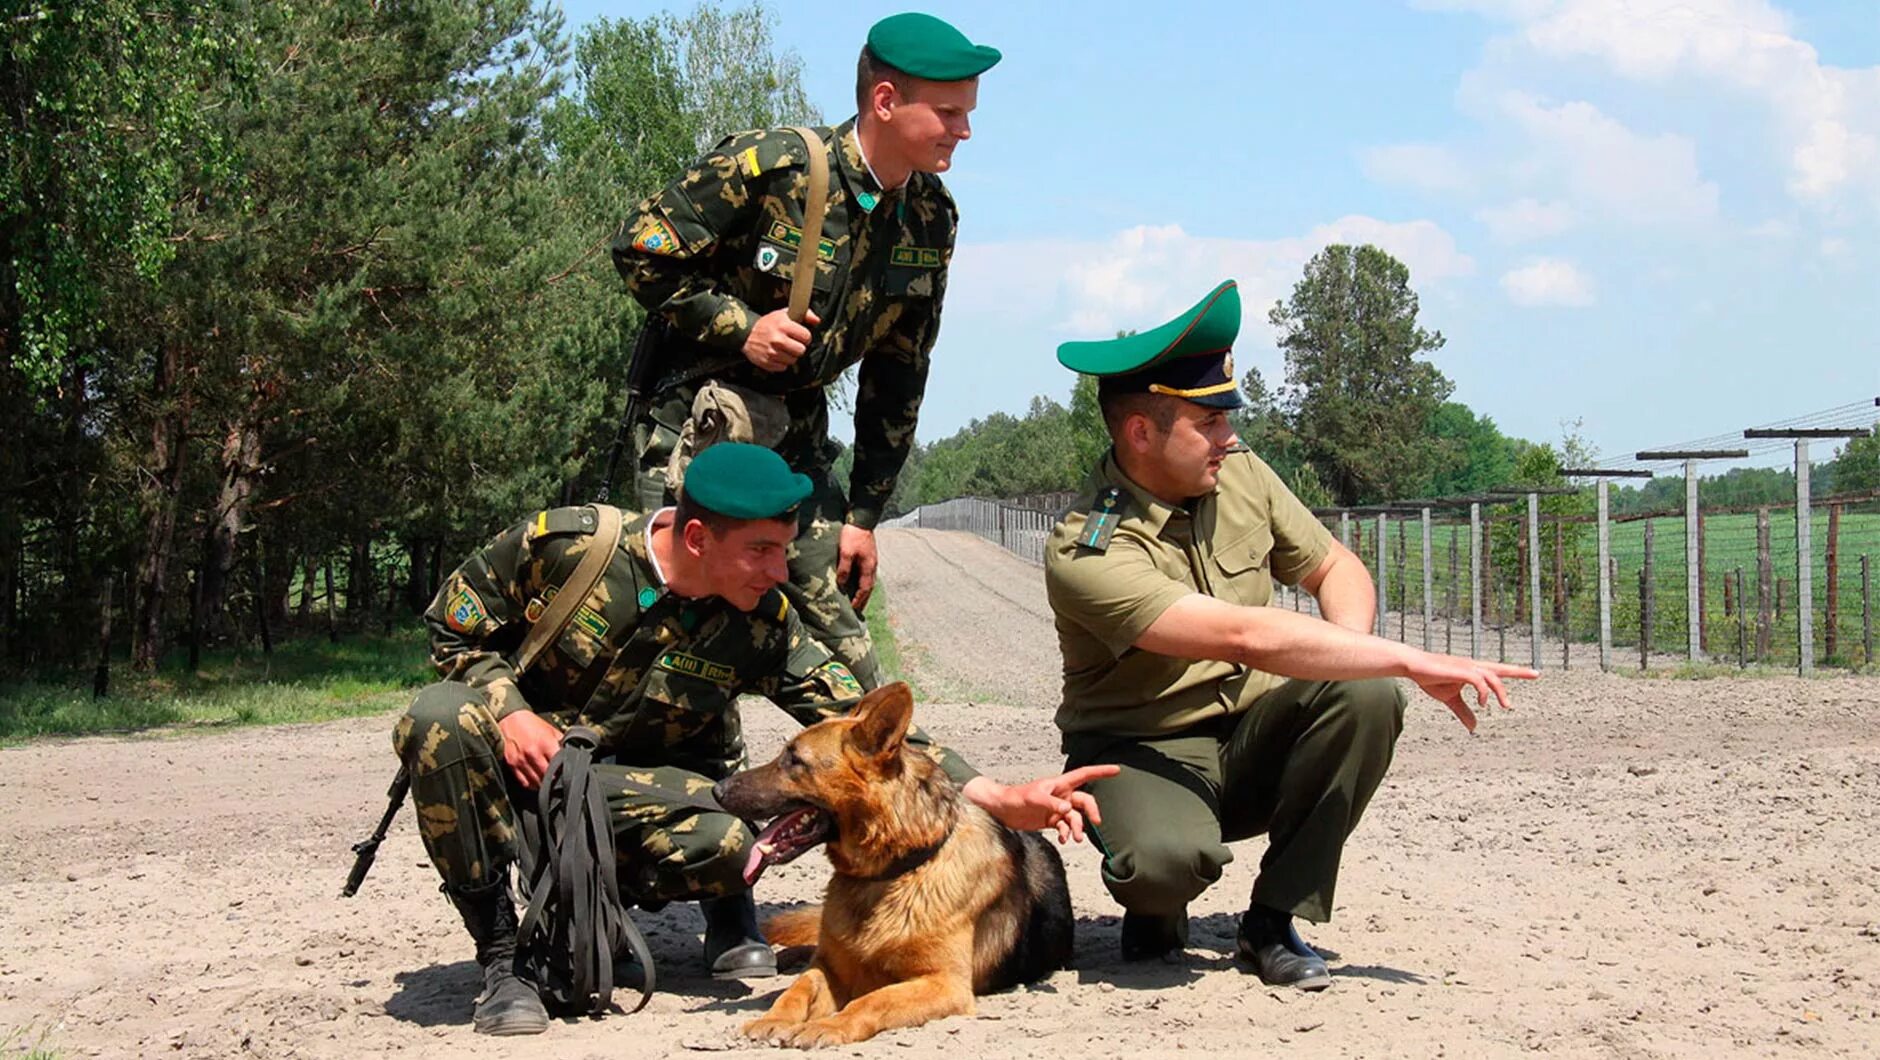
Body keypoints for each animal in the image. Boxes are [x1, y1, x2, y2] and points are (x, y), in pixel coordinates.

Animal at [710, 684, 1075, 1044]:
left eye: (795, 760)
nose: (716, 790)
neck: (894, 873)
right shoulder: (830, 967)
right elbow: (798, 988)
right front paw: (773, 1018)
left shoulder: (944, 983)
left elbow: (873, 1000)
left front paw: (831, 1025)